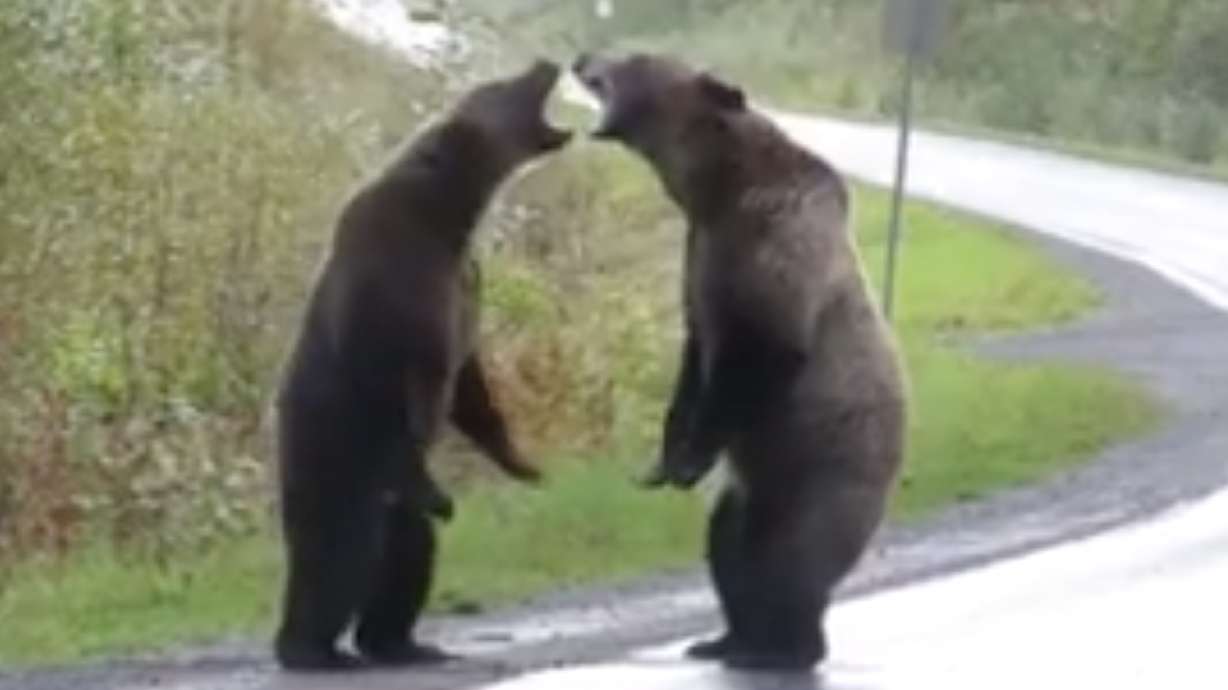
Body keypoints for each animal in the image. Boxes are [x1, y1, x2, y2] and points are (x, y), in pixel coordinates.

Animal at [273, 60, 571, 671]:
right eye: (502, 85)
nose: (545, 62)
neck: (449, 210)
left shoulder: (464, 284)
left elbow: (470, 386)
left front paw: (524, 463)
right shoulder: (397, 288)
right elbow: (413, 382)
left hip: (394, 513)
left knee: (409, 557)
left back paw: (405, 642)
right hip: (334, 459)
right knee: (336, 556)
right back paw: (313, 649)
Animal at [573, 53, 908, 671]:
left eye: (634, 59)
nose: (582, 57)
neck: (714, 189)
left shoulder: (773, 246)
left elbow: (763, 353)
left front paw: (690, 458)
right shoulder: (700, 261)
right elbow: (694, 357)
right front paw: (664, 459)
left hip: (822, 478)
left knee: (793, 560)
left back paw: (783, 648)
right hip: (750, 492)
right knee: (728, 547)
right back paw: (727, 639)